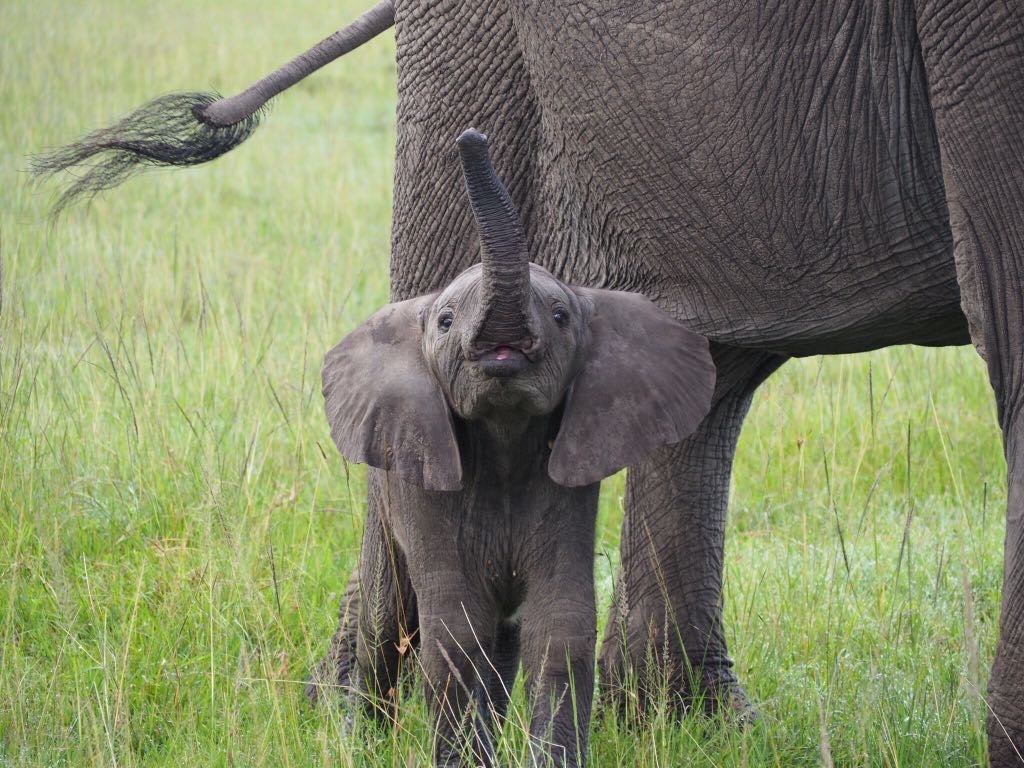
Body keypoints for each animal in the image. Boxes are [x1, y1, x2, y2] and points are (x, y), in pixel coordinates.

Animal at [319, 129, 712, 765]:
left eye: (560, 315)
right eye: (445, 322)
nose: (471, 136)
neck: (503, 431)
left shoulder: (564, 476)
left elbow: (559, 627)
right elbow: (455, 633)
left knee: (501, 642)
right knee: (389, 618)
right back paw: (362, 734)